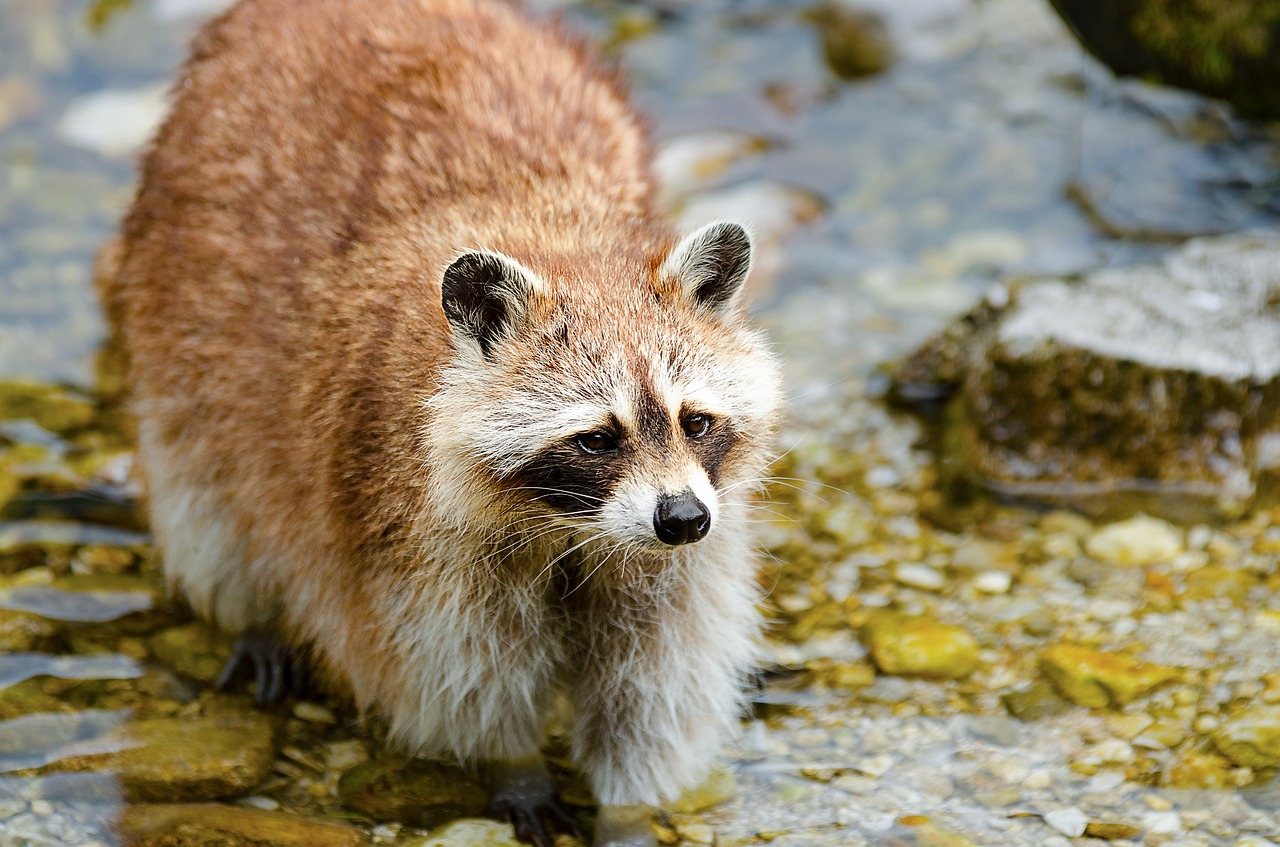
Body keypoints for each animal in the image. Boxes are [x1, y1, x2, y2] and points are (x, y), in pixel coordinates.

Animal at [102, 0, 778, 844]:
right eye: (597, 437)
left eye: (696, 421)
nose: (683, 518)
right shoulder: (399, 526)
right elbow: (461, 672)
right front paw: (514, 764)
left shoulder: (677, 561)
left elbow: (652, 688)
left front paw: (625, 808)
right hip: (184, 328)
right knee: (209, 495)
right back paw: (251, 612)